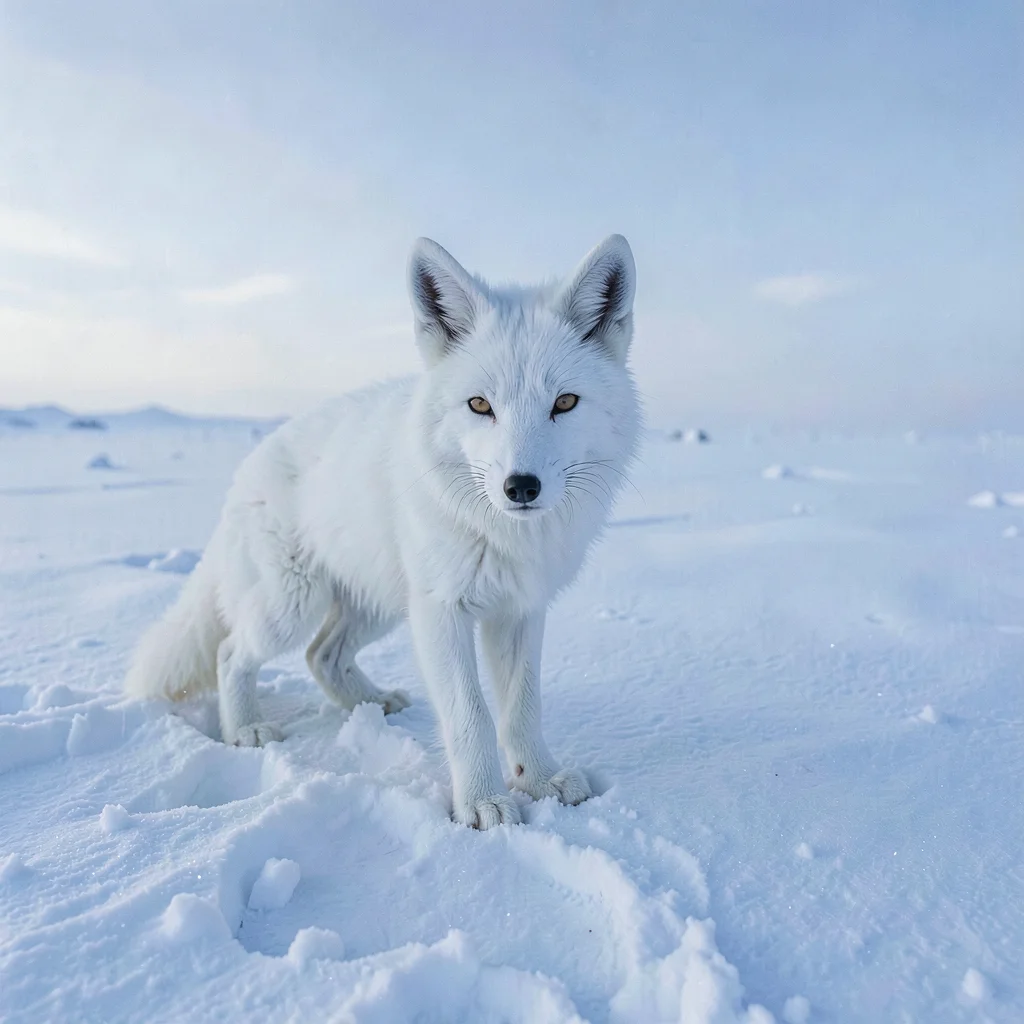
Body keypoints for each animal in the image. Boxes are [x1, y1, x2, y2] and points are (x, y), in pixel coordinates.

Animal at [125, 234, 641, 829]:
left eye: (565, 403)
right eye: (480, 405)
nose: (521, 487)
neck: (503, 535)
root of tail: (246, 469)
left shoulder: (519, 611)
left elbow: (522, 708)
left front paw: (538, 780)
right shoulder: (441, 611)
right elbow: (471, 715)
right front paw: (482, 804)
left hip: (380, 608)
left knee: (321, 656)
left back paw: (371, 706)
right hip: (294, 608)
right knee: (233, 651)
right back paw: (246, 730)